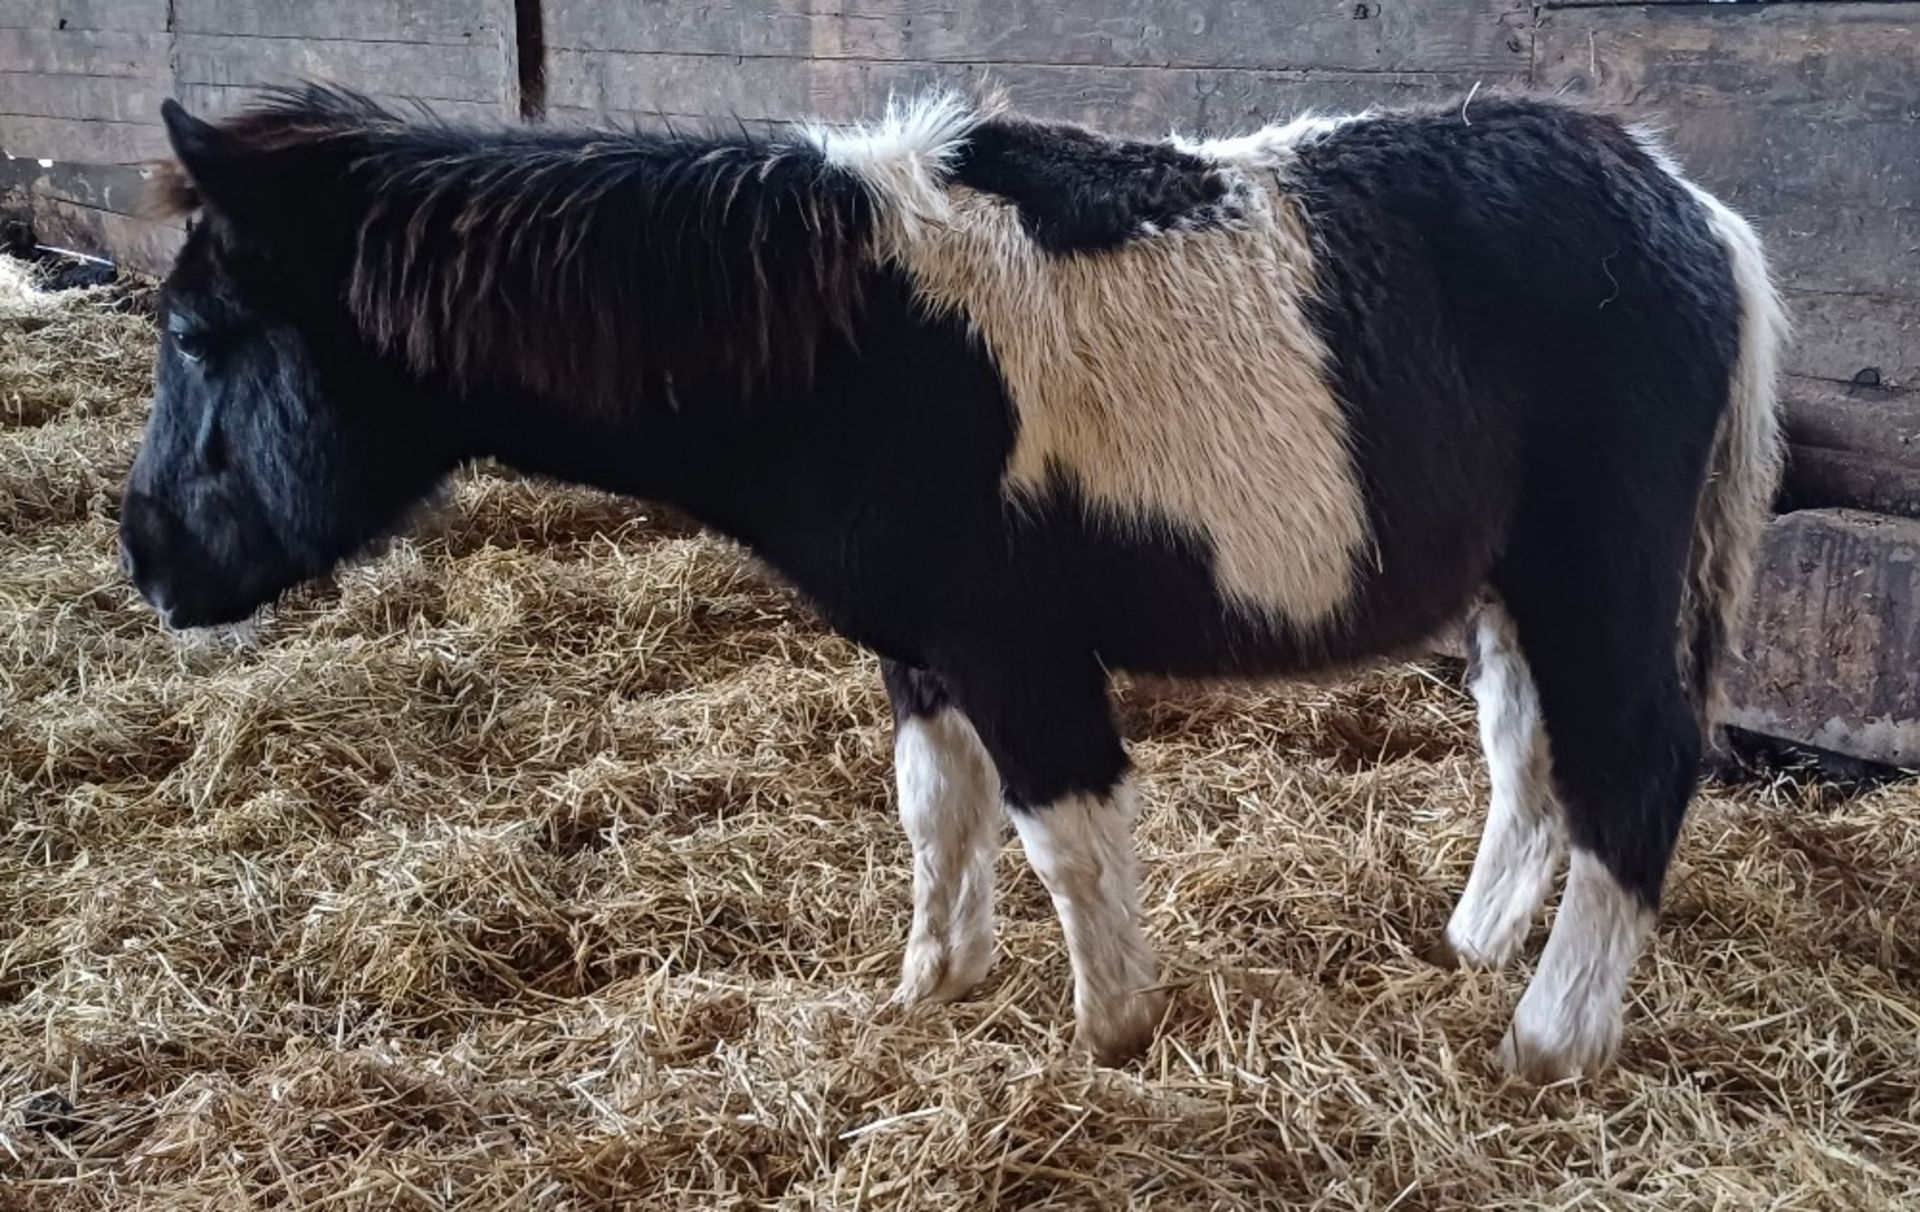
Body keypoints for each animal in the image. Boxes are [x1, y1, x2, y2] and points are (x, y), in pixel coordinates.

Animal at [127, 90, 1781, 1083]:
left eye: (201, 335)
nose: (146, 562)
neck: (853, 349)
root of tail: (1697, 216)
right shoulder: (922, 649)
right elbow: (939, 809)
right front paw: (935, 984)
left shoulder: (1016, 644)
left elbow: (1066, 834)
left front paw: (1113, 1035)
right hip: (1511, 591)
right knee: (1531, 760)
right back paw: (1474, 946)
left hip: (1596, 571)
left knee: (1634, 766)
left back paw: (1550, 1039)